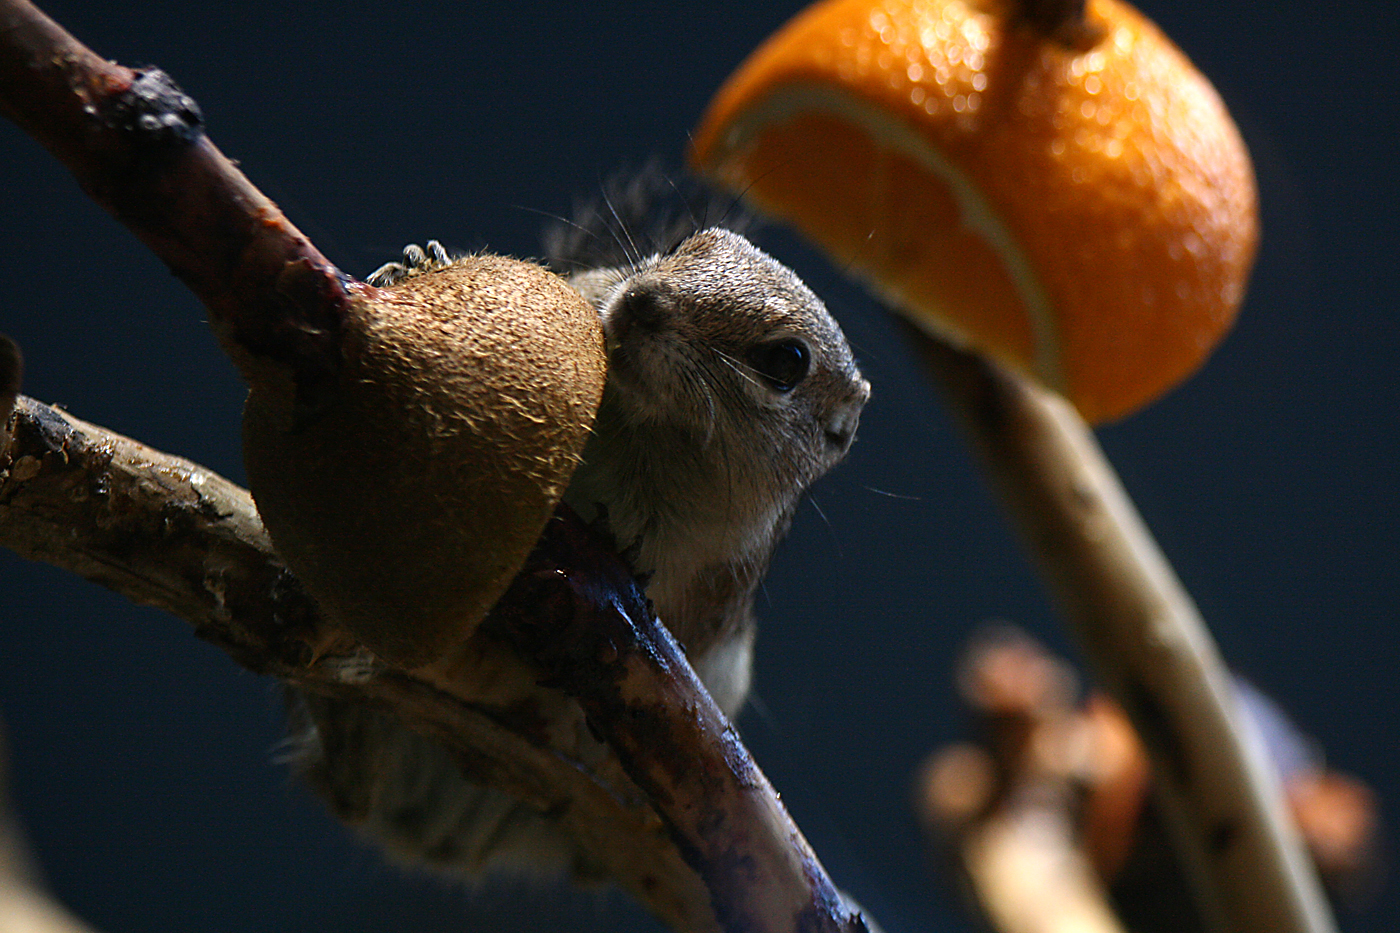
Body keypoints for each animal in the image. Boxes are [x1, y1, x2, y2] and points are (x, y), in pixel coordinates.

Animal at [286, 186, 871, 876]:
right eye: (684, 243)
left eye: (786, 361)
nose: (644, 302)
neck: (637, 432)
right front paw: (419, 264)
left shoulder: (717, 579)